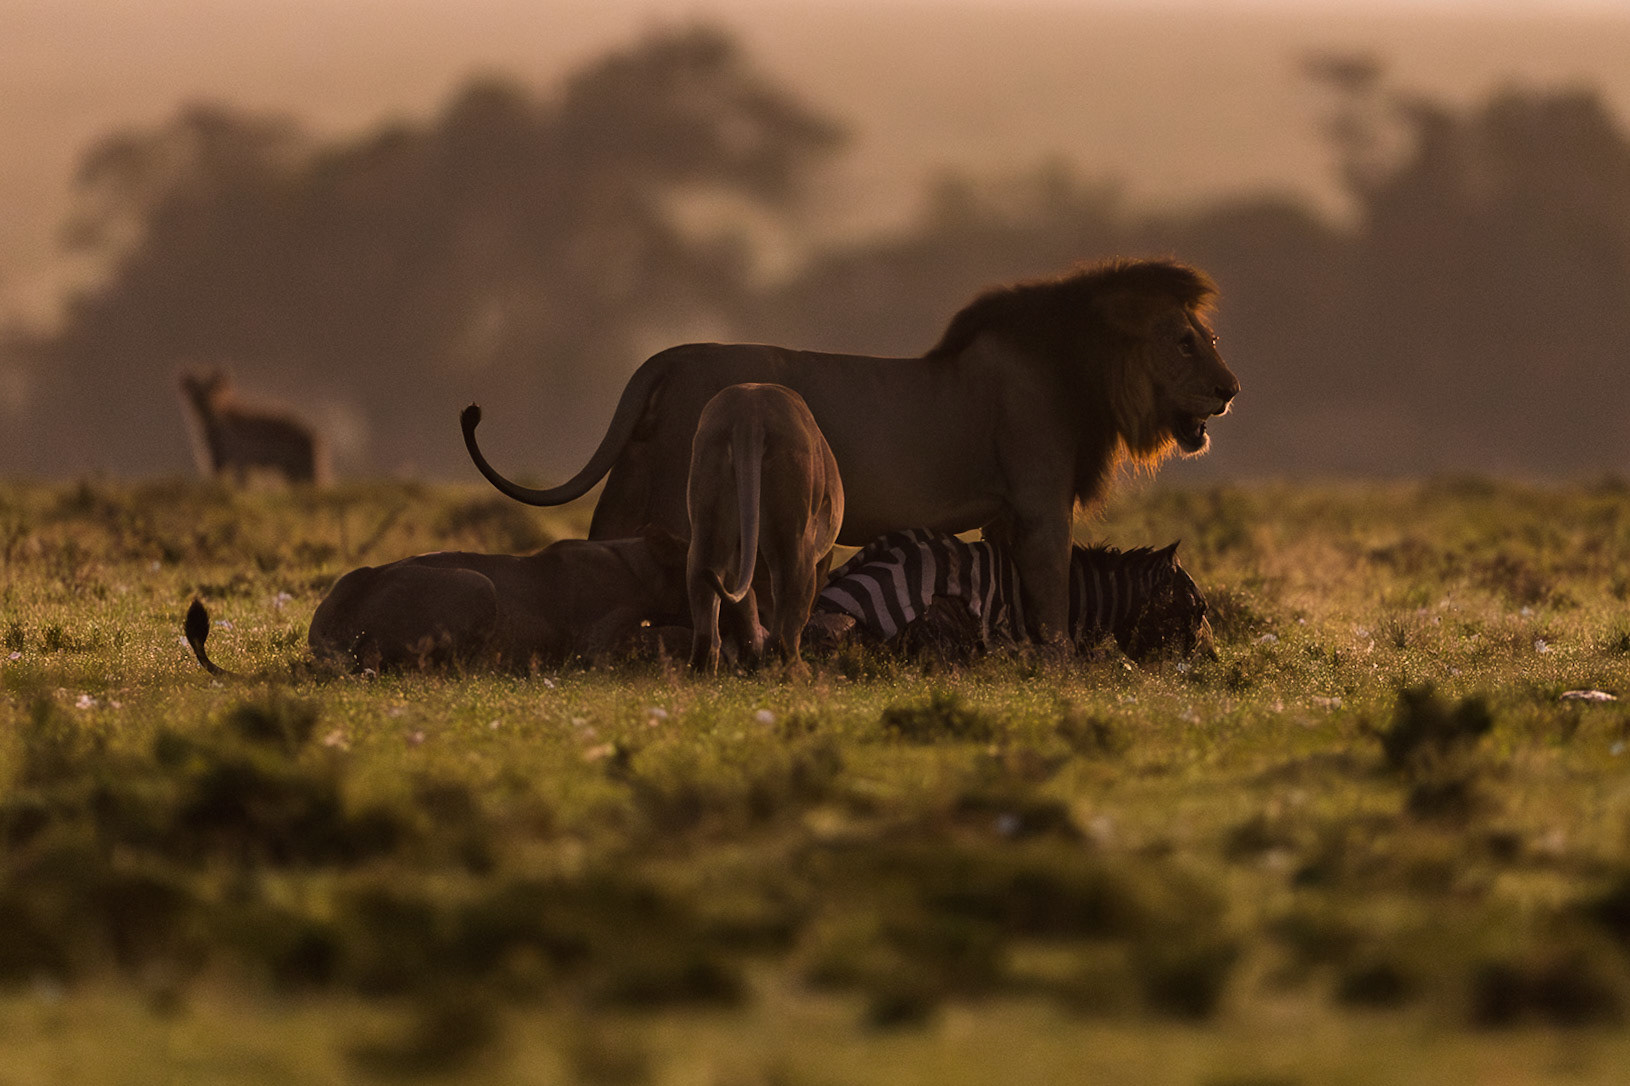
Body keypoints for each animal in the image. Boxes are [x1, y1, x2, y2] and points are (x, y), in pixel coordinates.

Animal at [179, 368, 327, 485]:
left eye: (212, 391)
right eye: (197, 393)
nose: (205, 402)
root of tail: (315, 436)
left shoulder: (240, 461)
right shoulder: (217, 462)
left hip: (306, 470)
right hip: (292, 472)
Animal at [462, 259, 1238, 644]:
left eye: (1207, 337)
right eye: (1183, 341)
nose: (1231, 390)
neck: (1080, 374)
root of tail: (668, 357)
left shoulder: (1006, 514)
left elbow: (1016, 592)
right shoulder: (1041, 505)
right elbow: (1051, 600)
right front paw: (1063, 671)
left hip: (637, 485)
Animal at [686, 383, 844, 674]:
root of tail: (749, 412)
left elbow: (745, 605)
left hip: (708, 521)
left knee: (703, 585)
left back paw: (702, 669)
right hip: (792, 528)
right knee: (789, 593)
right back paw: (795, 671)